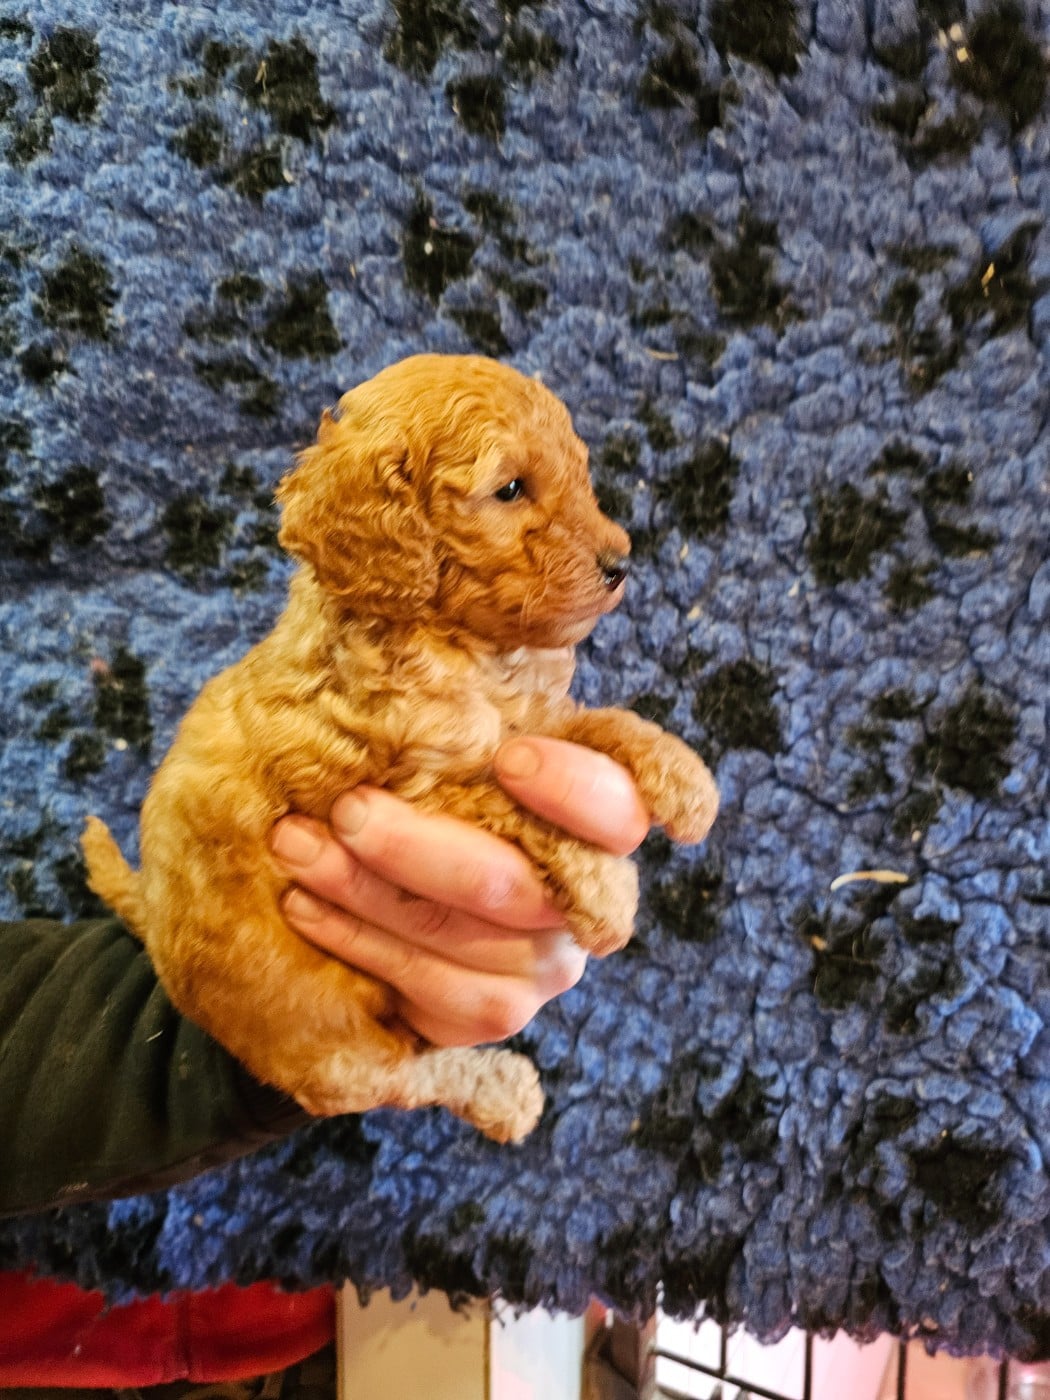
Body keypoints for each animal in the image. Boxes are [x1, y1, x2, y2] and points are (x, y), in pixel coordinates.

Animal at [83, 354, 718, 1142]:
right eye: (511, 489)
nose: (619, 563)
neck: (451, 643)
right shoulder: (400, 792)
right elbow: (502, 798)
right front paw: (607, 887)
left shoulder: (522, 724)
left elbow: (588, 722)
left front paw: (683, 777)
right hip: (334, 1055)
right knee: (412, 1077)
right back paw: (503, 1091)